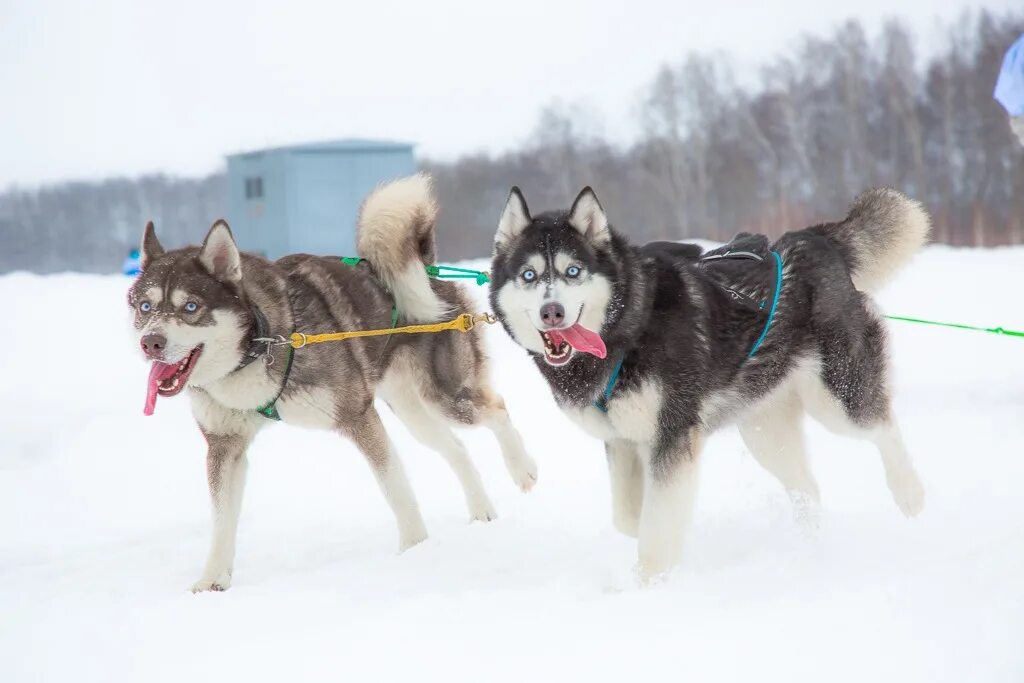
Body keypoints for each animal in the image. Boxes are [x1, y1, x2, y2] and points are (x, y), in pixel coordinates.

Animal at [128, 174, 536, 589]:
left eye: (190, 307)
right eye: (144, 306)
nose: (151, 342)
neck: (260, 344)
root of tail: (428, 269)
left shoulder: (358, 417)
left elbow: (395, 486)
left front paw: (414, 547)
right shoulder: (224, 447)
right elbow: (222, 520)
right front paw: (213, 580)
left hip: (447, 397)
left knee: (497, 409)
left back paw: (522, 469)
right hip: (414, 411)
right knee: (456, 448)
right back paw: (482, 511)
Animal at [487, 185, 929, 577]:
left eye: (573, 272)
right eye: (529, 275)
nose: (552, 312)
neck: (628, 326)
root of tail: (814, 237)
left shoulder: (672, 435)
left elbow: (656, 525)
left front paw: (650, 582)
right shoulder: (623, 441)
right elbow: (630, 519)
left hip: (837, 399)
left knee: (881, 425)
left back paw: (909, 493)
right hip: (765, 432)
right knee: (807, 487)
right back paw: (809, 549)